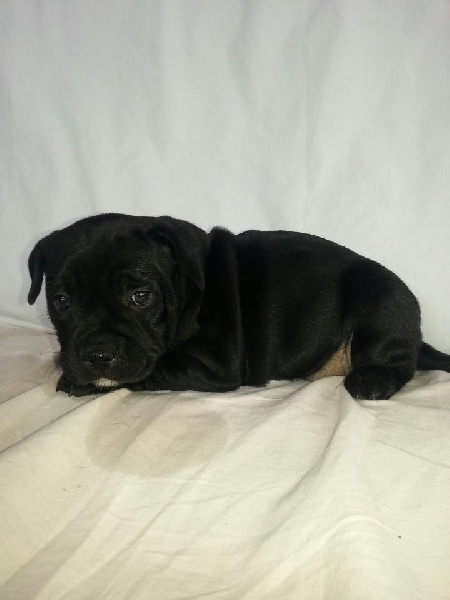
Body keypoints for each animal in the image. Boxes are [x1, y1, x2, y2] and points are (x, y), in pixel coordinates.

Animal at [28, 213, 450, 398]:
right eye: (61, 302)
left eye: (141, 297)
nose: (97, 354)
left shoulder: (213, 363)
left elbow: (156, 368)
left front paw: (78, 382)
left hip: (379, 299)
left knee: (400, 361)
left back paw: (372, 380)